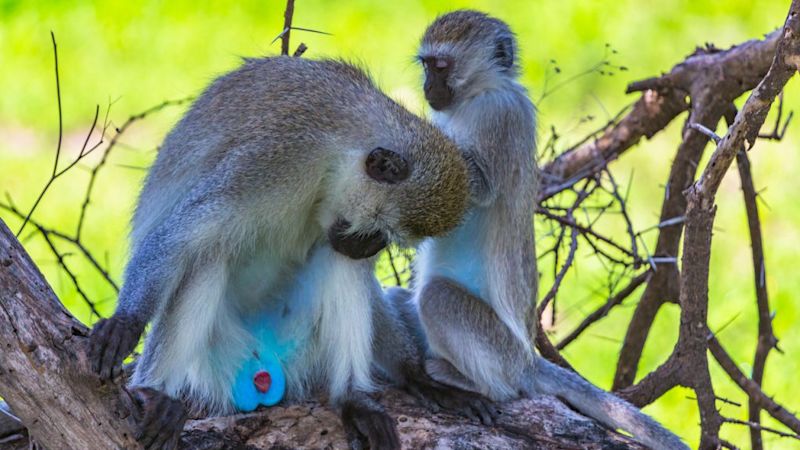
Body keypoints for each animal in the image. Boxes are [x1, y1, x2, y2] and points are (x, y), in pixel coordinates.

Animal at [87, 55, 495, 450]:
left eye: (386, 240)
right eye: (380, 231)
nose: (369, 247)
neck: (338, 151)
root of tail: (264, 363)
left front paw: (417, 376)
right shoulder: (273, 160)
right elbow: (180, 237)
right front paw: (125, 323)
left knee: (338, 263)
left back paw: (354, 399)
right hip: (213, 359)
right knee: (207, 256)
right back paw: (153, 394)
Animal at [396, 10, 690, 450]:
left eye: (442, 67)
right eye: (427, 66)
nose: (428, 88)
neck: (478, 95)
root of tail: (528, 362)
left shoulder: (501, 115)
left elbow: (477, 187)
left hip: (501, 353)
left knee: (443, 304)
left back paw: (470, 382)